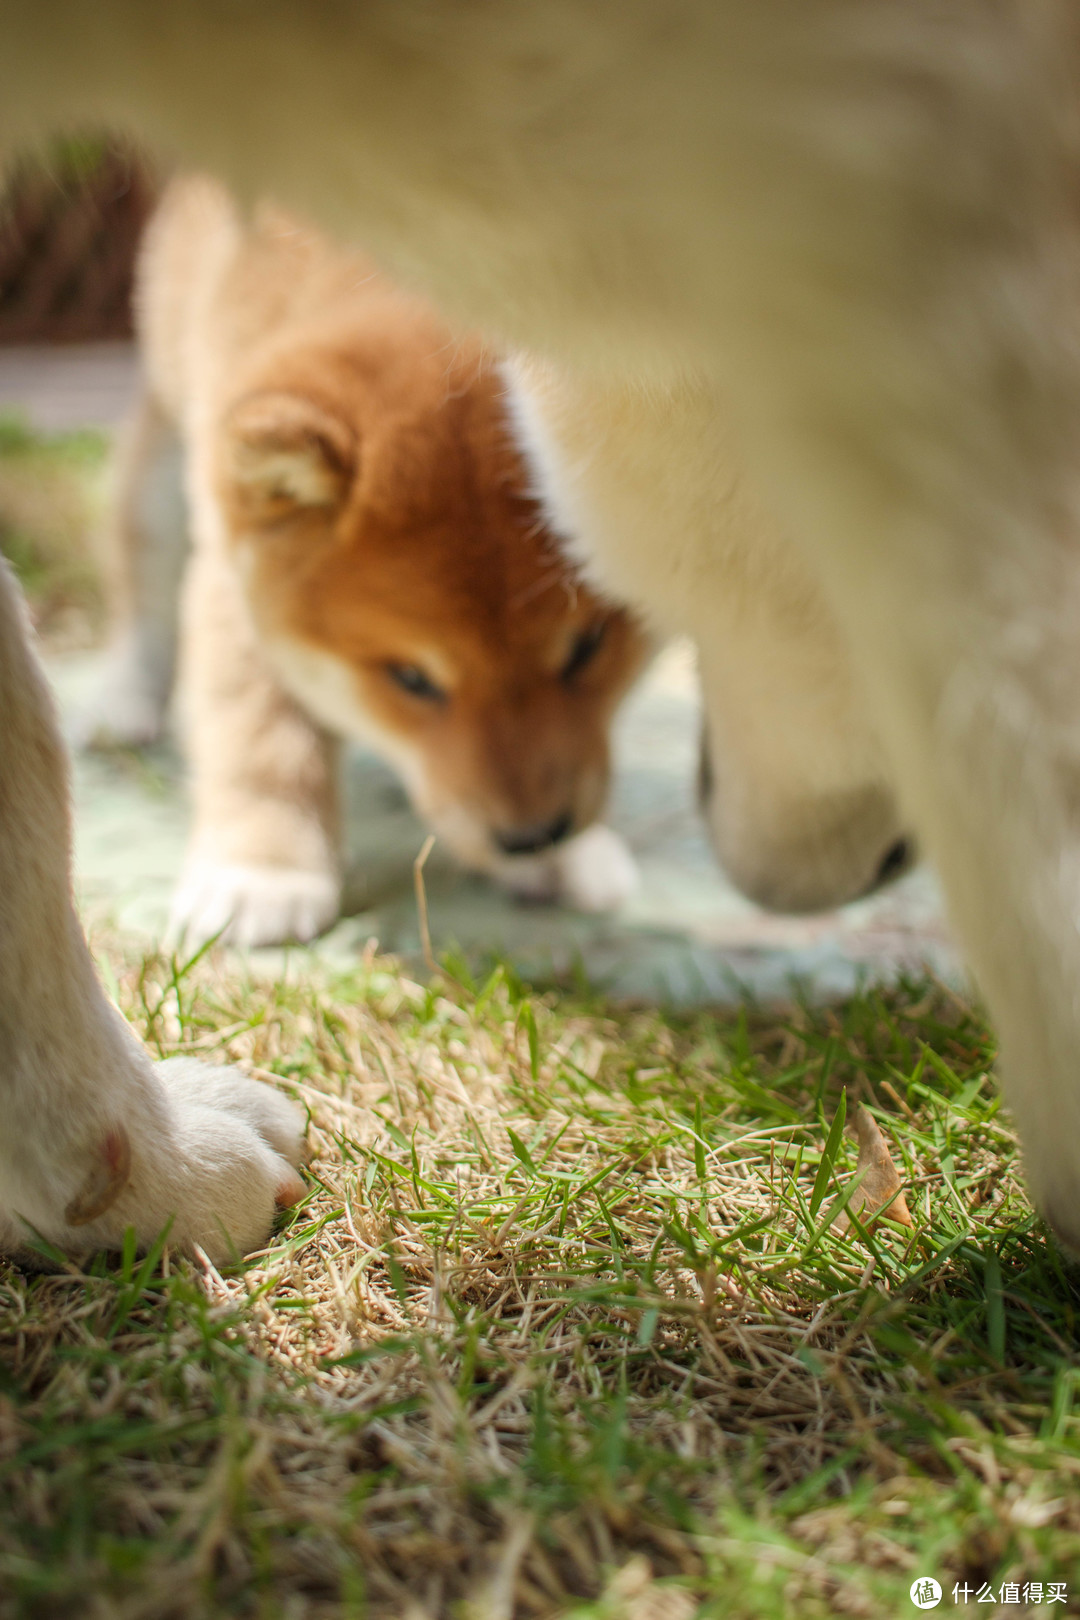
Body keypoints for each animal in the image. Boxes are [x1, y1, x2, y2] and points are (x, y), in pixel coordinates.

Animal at [86, 180, 650, 946]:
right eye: (410, 679)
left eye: (589, 647)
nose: (533, 836)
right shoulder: (237, 573)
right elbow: (259, 732)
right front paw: (261, 871)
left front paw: (568, 859)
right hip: (163, 456)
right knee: (141, 580)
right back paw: (123, 698)